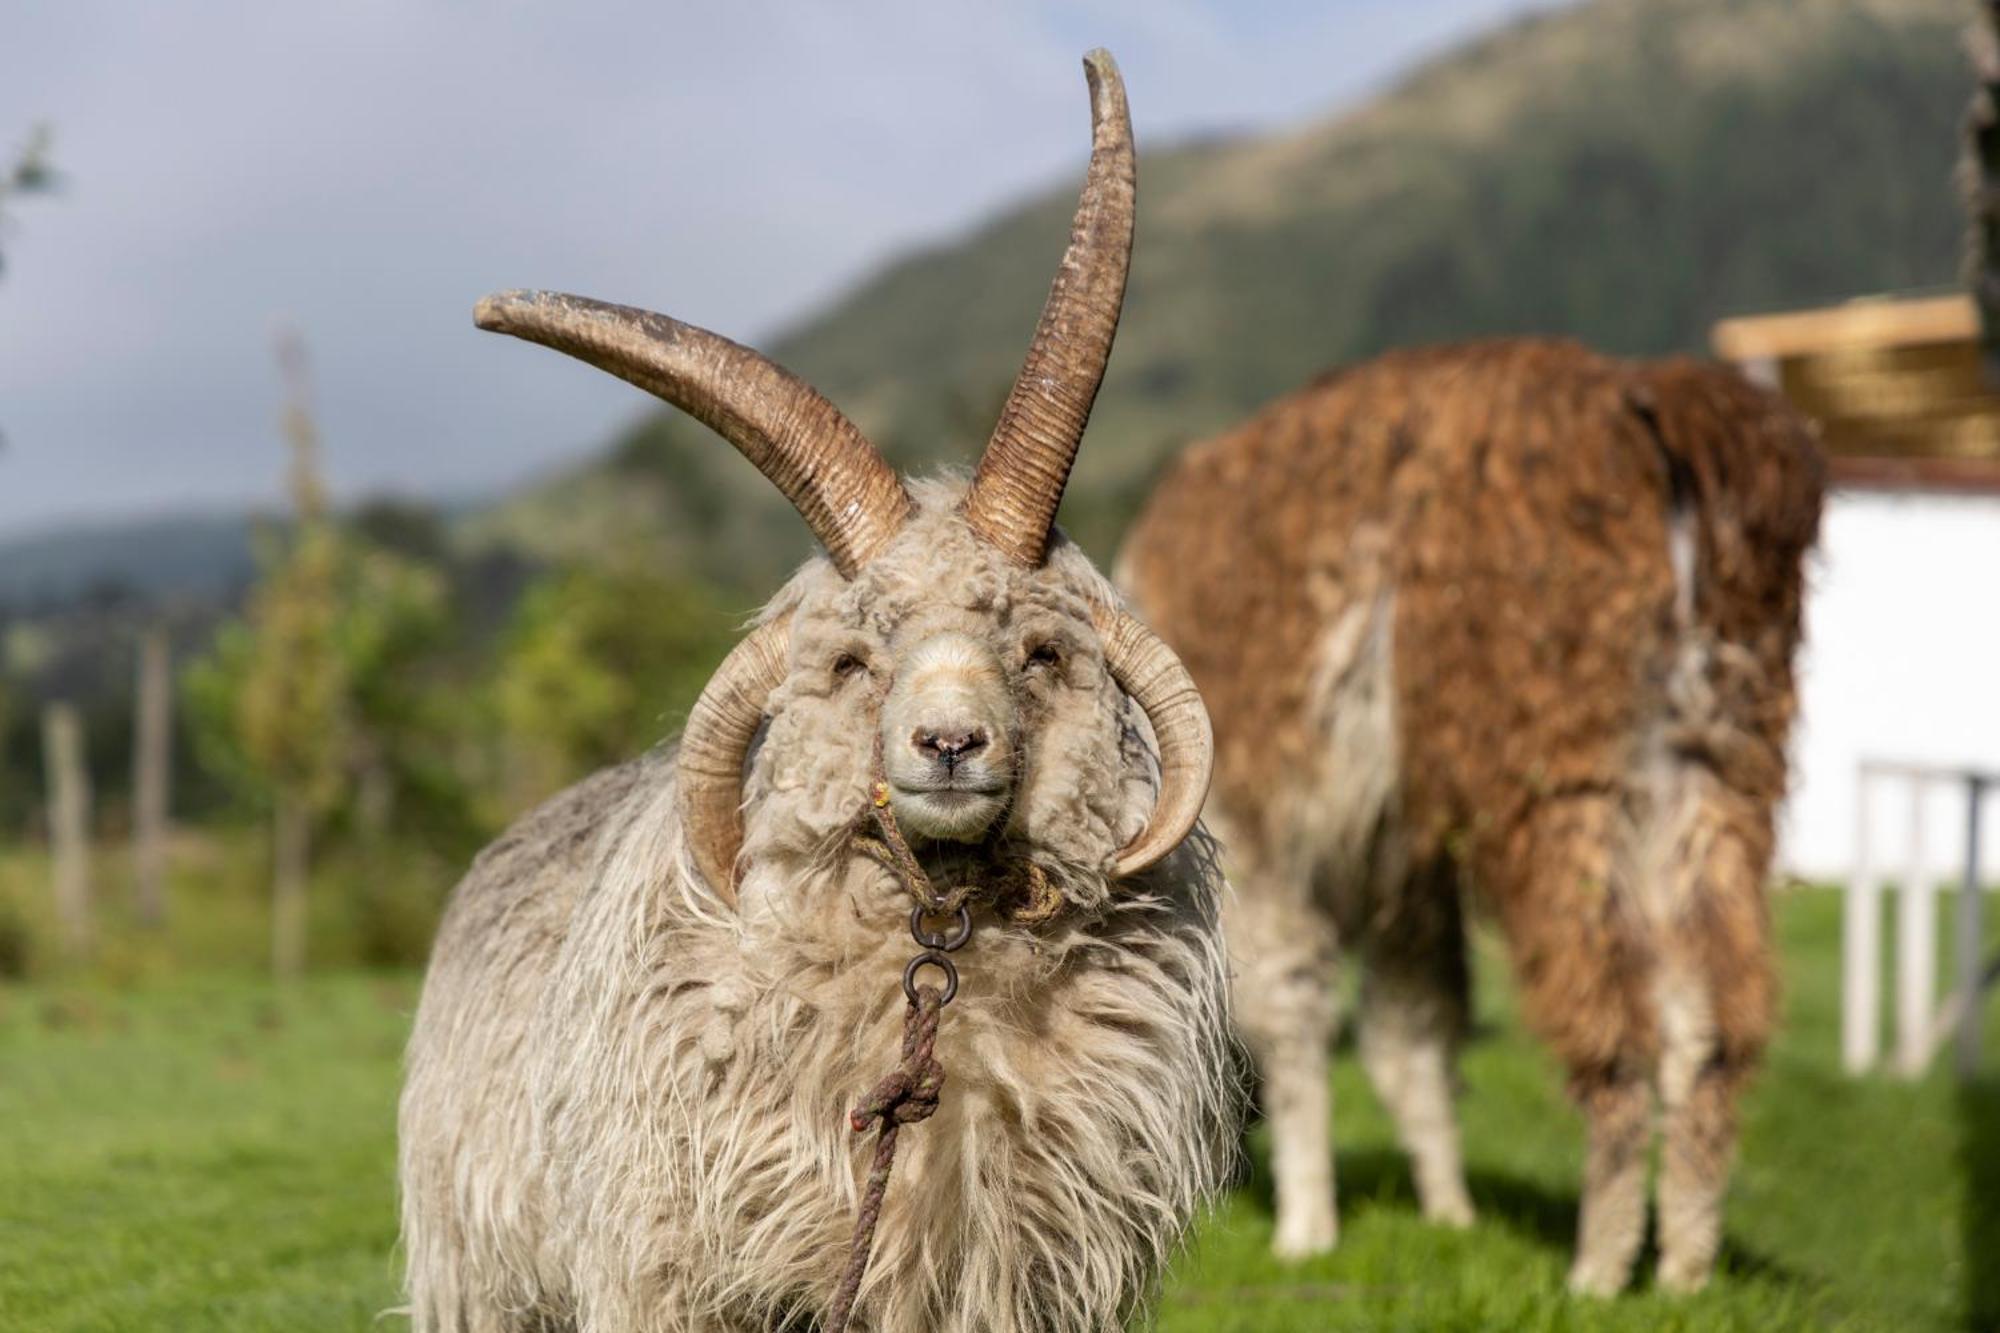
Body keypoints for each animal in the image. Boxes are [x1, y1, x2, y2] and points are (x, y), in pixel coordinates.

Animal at [394, 52, 1232, 1328]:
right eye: (849, 661)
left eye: (1040, 653)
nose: (950, 744)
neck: (934, 956)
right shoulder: (664, 1265)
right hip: (484, 1276)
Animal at [1120, 338, 1824, 1288]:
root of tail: (1658, 414)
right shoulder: (1399, 859)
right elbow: (1413, 1027)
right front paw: (1449, 1213)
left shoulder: (1262, 826)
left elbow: (1291, 1009)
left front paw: (1306, 1229)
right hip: (1717, 763)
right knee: (1706, 1024)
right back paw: (1684, 1266)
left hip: (1555, 772)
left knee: (1615, 1021)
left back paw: (1598, 1270)